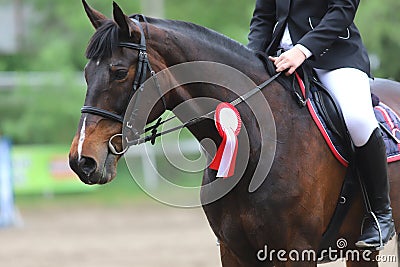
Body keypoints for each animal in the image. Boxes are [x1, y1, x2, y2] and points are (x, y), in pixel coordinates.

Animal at [69, 1, 400, 266]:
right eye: (86, 74)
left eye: (118, 73)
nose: (81, 160)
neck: (257, 144)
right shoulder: (233, 251)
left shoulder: (295, 251)